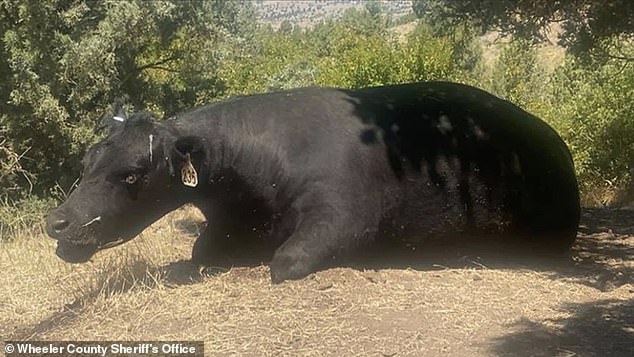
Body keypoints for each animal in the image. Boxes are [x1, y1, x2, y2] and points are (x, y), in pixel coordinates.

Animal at [45, 82, 576, 282]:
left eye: (132, 173)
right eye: (86, 162)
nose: (56, 222)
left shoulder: (344, 215)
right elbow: (200, 251)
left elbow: (286, 261)